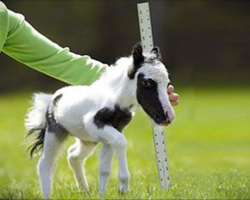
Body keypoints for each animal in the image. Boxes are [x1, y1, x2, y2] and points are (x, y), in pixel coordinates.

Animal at [24, 42, 174, 198]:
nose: (168, 116)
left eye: (167, 84)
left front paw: (103, 195)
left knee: (73, 156)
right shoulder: (94, 123)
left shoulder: (113, 130)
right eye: (147, 83)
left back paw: (84, 190)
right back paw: (48, 194)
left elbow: (105, 168)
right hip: (55, 133)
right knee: (46, 163)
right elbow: (121, 141)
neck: (116, 99)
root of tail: (52, 98)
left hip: (88, 140)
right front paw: (124, 187)